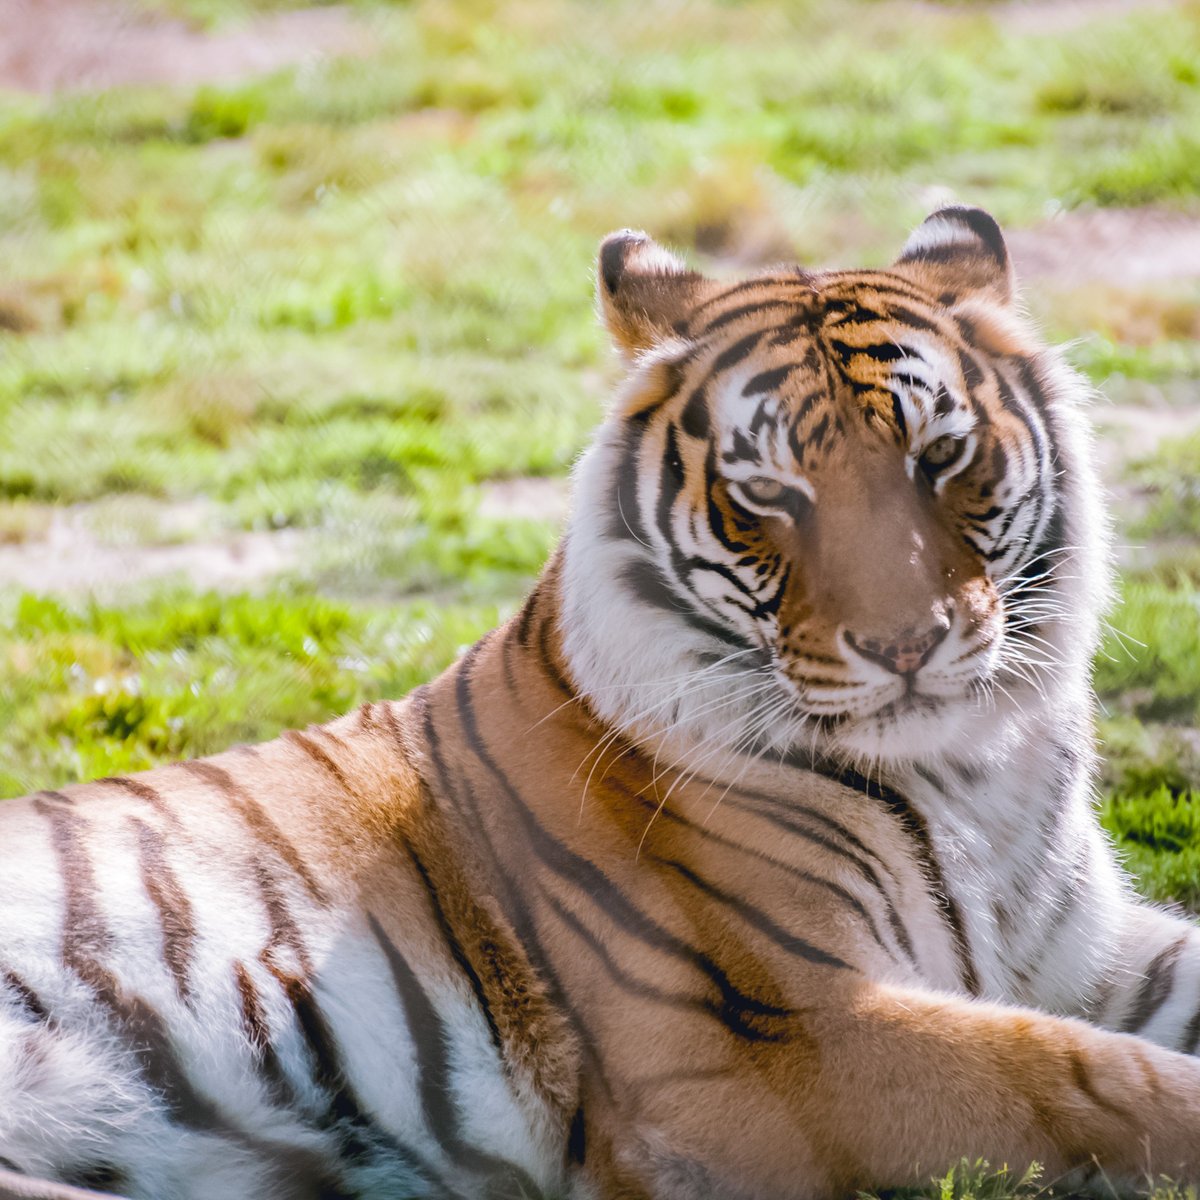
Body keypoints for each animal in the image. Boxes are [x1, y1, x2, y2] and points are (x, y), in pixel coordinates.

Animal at [4, 206, 1200, 1200]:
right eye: (768, 495)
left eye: (940, 455)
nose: (907, 643)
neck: (978, 774)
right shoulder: (794, 1036)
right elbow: (1098, 1080)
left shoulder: (1088, 956)